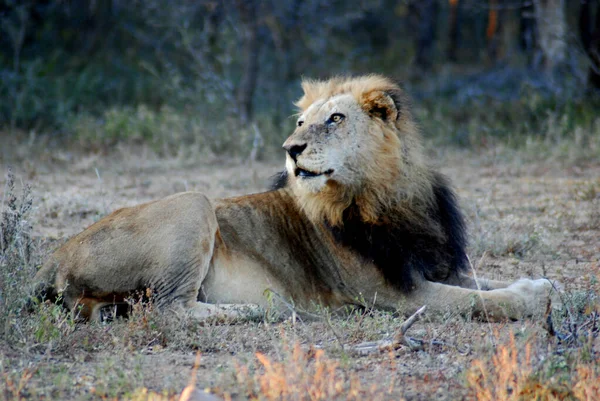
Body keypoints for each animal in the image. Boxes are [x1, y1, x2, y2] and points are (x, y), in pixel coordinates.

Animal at [31, 75, 552, 320]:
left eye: (335, 119)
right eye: (302, 122)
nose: (290, 148)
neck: (384, 195)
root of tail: (51, 258)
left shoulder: (430, 266)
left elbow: (482, 285)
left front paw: (542, 284)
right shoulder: (390, 293)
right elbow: (481, 302)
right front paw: (535, 297)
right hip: (193, 202)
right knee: (167, 310)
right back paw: (265, 310)